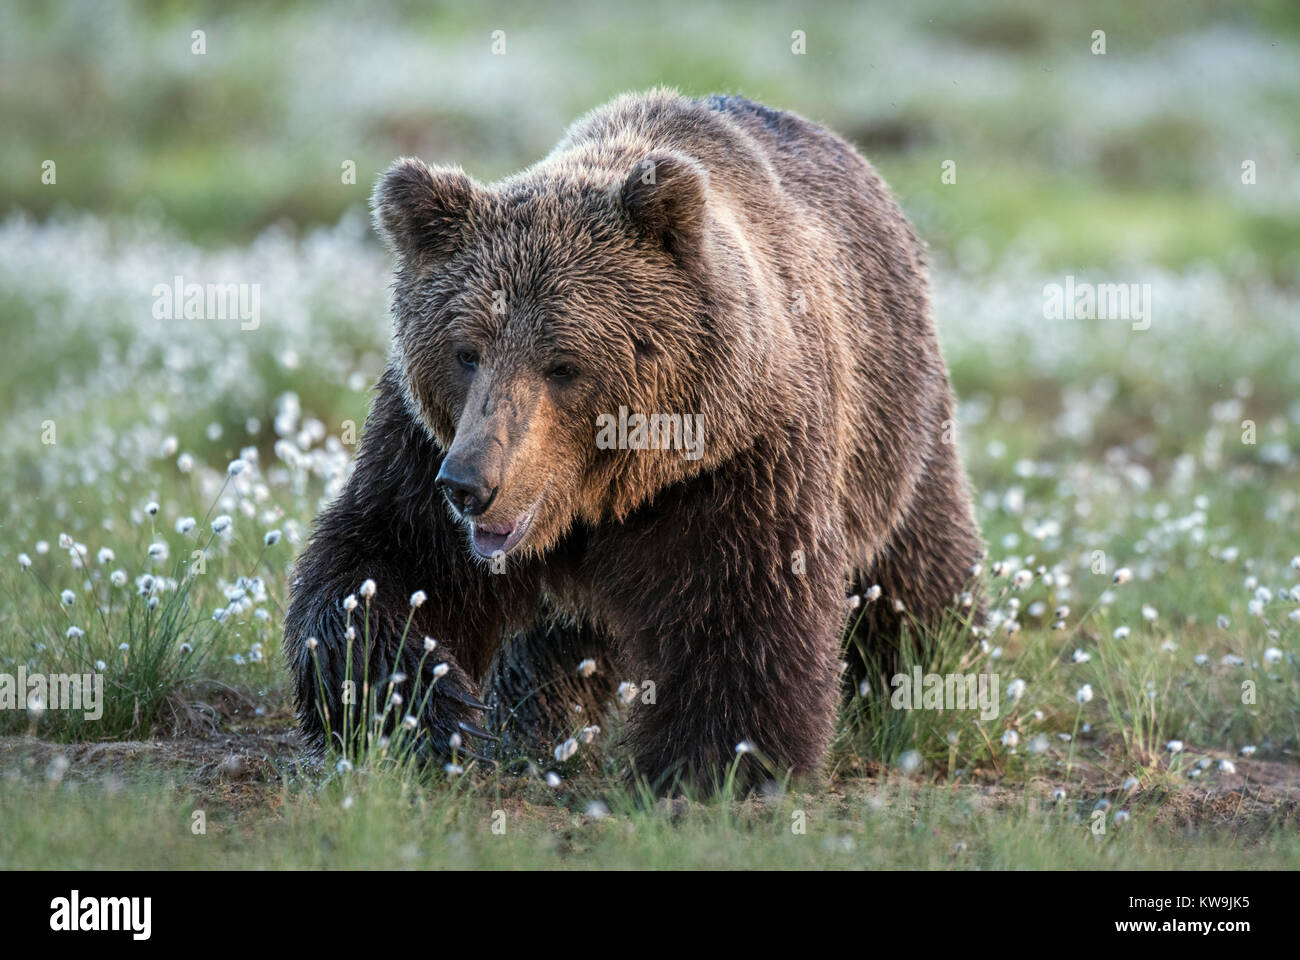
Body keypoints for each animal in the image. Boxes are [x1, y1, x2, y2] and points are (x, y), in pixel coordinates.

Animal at [282, 89, 977, 790]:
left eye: (563, 364)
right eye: (466, 352)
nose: (471, 486)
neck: (603, 497)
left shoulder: (740, 460)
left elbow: (746, 608)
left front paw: (714, 765)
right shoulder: (424, 447)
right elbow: (377, 566)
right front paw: (422, 715)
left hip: (895, 424)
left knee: (918, 568)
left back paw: (927, 679)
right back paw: (539, 727)